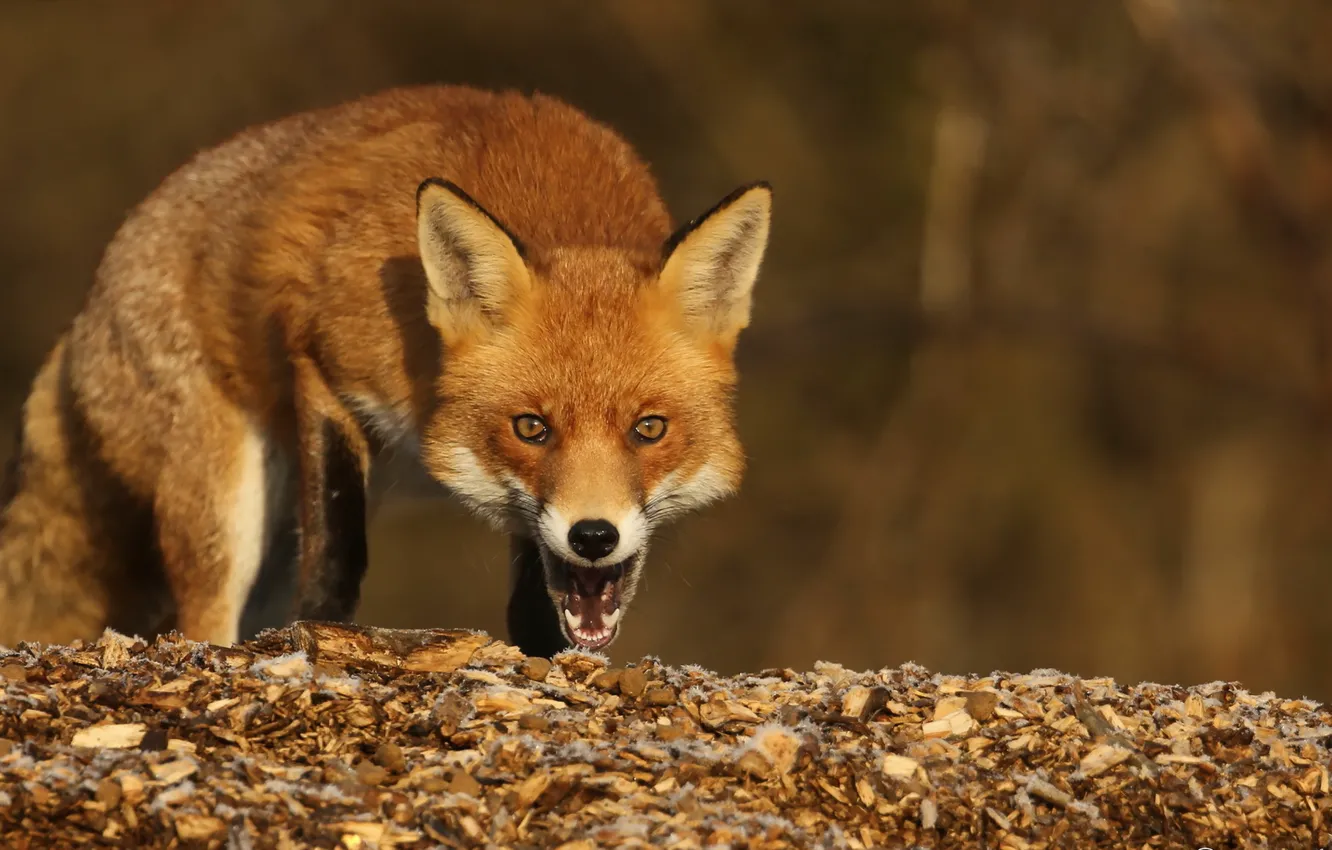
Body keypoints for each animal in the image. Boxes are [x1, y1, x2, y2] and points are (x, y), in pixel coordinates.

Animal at [0, 85, 771, 657]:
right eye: (531, 428)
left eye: (649, 429)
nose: (593, 536)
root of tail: (85, 313)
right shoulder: (324, 363)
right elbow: (338, 556)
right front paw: (323, 635)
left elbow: (532, 599)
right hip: (224, 505)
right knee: (201, 622)